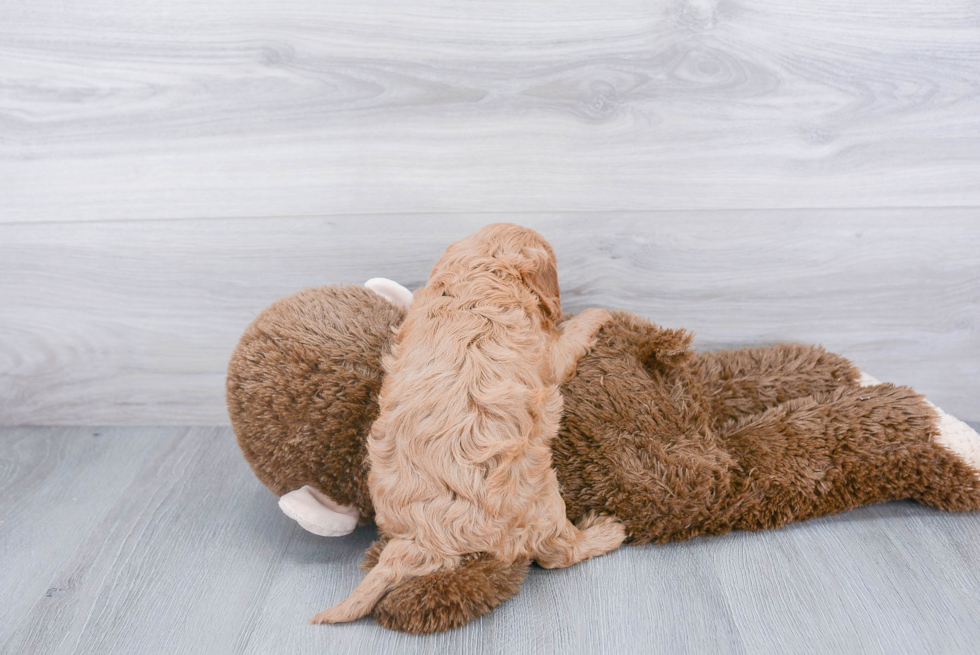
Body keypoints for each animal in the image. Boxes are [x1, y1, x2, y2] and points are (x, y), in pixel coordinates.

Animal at [310, 223, 624, 624]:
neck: (474, 280)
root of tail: (422, 541)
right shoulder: (548, 354)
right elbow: (569, 339)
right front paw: (597, 313)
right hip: (541, 497)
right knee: (558, 553)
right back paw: (606, 532)